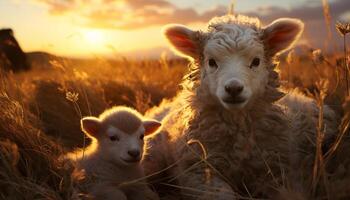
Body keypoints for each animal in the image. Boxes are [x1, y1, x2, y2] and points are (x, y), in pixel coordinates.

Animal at [142, 14, 340, 199]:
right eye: (211, 62)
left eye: (256, 61)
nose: (233, 88)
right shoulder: (200, 172)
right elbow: (222, 194)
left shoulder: (281, 172)